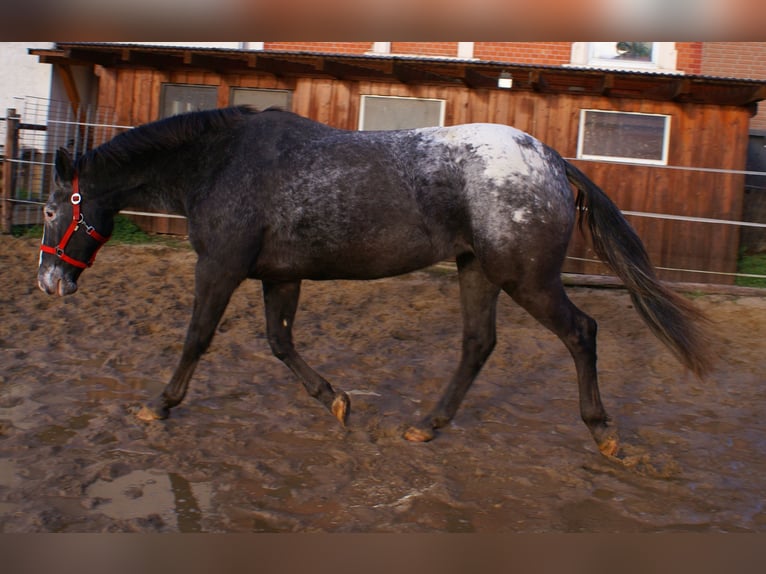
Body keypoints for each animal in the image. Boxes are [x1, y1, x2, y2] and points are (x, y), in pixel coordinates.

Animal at [36, 107, 712, 460]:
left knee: (582, 332)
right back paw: (425, 424)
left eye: (49, 209)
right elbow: (280, 343)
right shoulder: (281, 275)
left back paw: (604, 433)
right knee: (478, 344)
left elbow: (197, 337)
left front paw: (158, 405)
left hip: (527, 278)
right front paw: (336, 400)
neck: (221, 163)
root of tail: (550, 159)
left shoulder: (220, 267)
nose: (48, 283)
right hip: (478, 270)